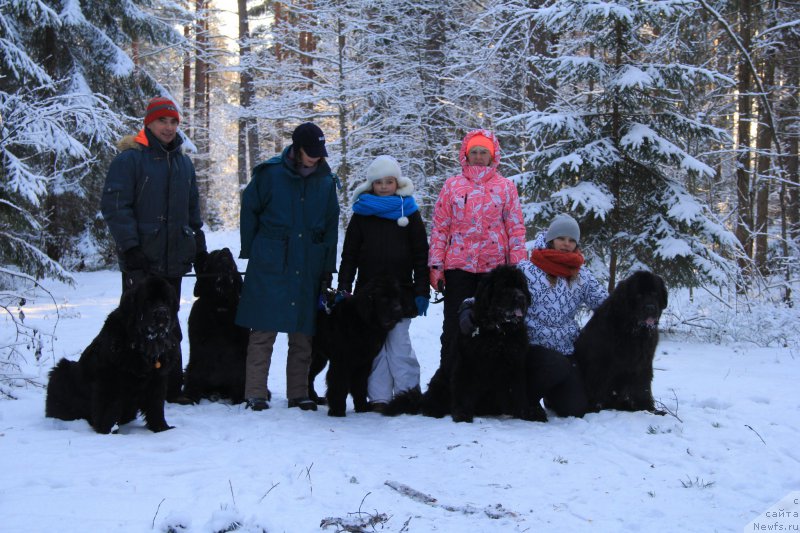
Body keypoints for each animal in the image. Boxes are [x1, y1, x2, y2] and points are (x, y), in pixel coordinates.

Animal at [46, 276, 180, 434]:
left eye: (167, 301)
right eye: (147, 301)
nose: (161, 313)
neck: (143, 345)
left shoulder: (157, 379)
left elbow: (156, 407)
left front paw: (162, 429)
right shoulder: (110, 379)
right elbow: (108, 408)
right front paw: (107, 431)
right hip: (61, 370)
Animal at [183, 248, 248, 404]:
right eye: (212, 255)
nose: (225, 250)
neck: (221, 304)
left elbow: (240, 375)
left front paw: (240, 398)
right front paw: (190, 396)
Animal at [308, 276, 404, 418]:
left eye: (397, 296)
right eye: (384, 298)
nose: (398, 310)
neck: (364, 322)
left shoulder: (364, 362)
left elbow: (360, 385)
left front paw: (362, 407)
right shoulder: (341, 361)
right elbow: (339, 384)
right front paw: (337, 411)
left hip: (319, 358)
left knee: (309, 375)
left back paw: (314, 399)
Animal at [576, 270, 668, 412]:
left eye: (655, 293)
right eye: (638, 295)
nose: (650, 308)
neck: (634, 330)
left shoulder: (643, 362)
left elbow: (643, 387)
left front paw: (648, 408)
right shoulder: (601, 362)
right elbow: (598, 386)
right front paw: (595, 408)